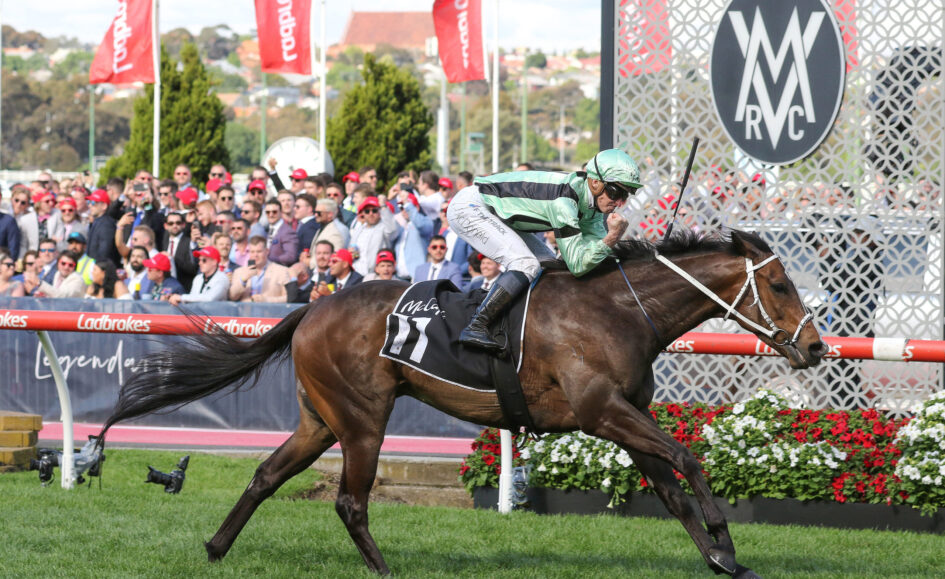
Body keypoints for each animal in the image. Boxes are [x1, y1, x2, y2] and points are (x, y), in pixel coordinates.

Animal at [97, 229, 827, 577]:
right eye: (781, 285)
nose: (817, 347)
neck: (618, 310)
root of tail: (313, 306)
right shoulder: (603, 412)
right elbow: (688, 458)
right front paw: (724, 535)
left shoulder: (623, 417)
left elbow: (671, 486)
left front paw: (721, 558)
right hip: (362, 419)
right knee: (349, 501)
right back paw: (384, 569)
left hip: (320, 418)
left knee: (266, 474)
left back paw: (217, 547)